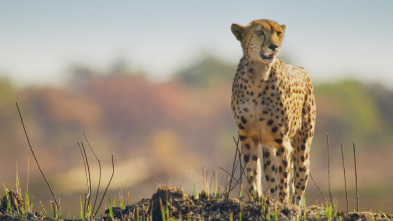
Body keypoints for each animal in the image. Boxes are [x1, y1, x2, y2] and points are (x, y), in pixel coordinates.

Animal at [230, 18, 316, 204]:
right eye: (259, 32)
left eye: (278, 33)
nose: (274, 46)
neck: (257, 76)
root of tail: (301, 68)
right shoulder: (248, 137)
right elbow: (253, 173)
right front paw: (256, 200)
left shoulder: (281, 141)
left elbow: (283, 177)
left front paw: (283, 204)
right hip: (269, 148)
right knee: (271, 174)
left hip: (302, 146)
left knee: (299, 180)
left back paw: (293, 206)